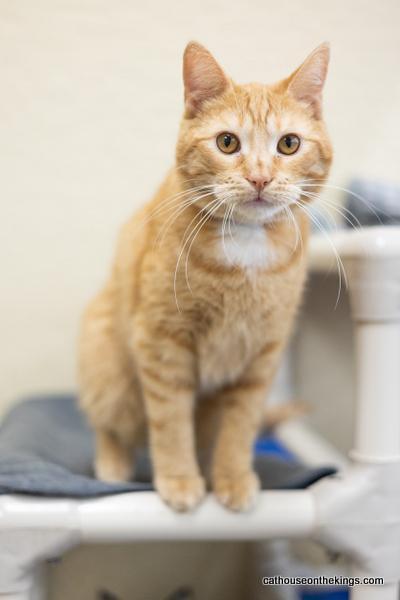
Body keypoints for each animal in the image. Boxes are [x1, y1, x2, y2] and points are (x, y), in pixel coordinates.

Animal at [78, 42, 332, 510]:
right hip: (103, 357)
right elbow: (171, 420)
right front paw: (179, 479)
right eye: (227, 142)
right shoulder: (163, 342)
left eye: (289, 144)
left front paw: (231, 477)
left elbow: (240, 426)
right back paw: (113, 463)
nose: (260, 177)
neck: (246, 244)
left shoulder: (261, 356)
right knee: (111, 424)